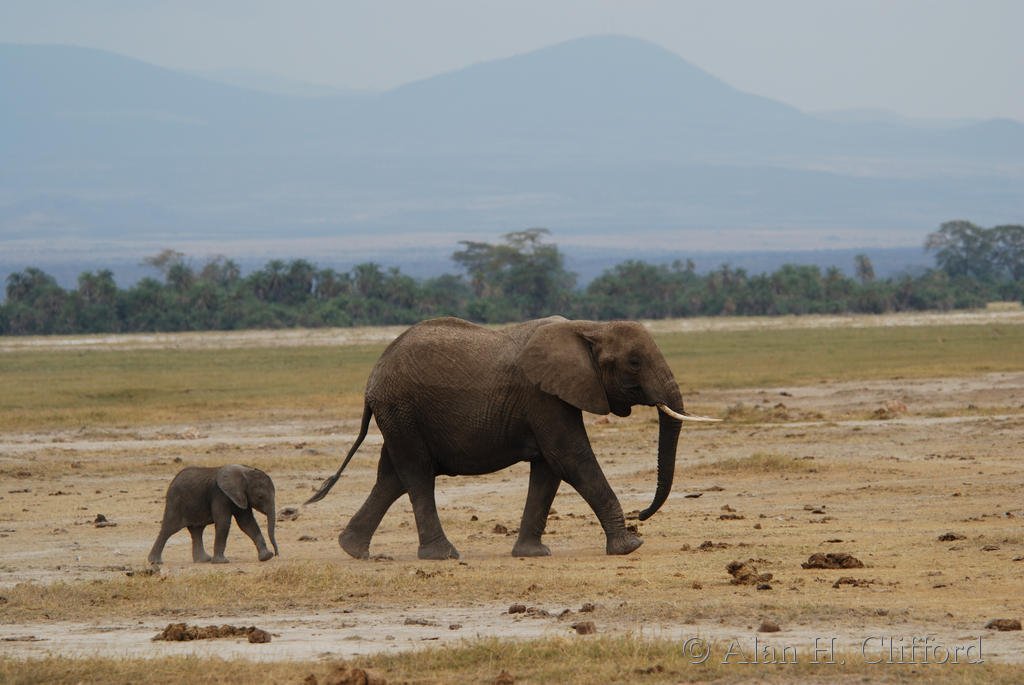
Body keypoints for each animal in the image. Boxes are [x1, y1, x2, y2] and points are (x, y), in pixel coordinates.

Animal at [148, 464, 278, 564]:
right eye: (260, 497)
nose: (277, 554)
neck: (244, 472)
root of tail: (173, 480)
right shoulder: (220, 495)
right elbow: (224, 523)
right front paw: (222, 562)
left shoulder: (240, 497)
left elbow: (247, 523)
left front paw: (267, 557)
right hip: (175, 502)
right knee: (169, 529)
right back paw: (154, 562)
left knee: (197, 531)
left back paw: (203, 560)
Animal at [306, 316, 718, 560]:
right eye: (634, 363)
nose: (642, 514)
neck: (589, 326)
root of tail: (372, 378)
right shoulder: (543, 395)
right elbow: (571, 458)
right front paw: (630, 548)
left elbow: (549, 469)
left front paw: (532, 553)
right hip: (402, 410)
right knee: (417, 476)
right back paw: (444, 556)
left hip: (399, 416)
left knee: (392, 477)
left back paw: (353, 550)